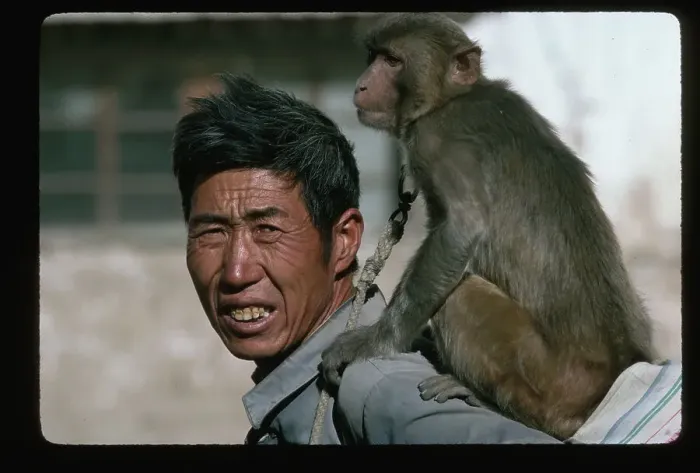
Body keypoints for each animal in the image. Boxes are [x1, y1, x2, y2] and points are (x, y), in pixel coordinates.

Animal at [320, 12, 656, 440]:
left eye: (392, 61)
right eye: (373, 56)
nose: (361, 84)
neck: (451, 98)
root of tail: (615, 372)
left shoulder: (437, 138)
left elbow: (459, 231)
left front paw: (377, 342)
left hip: (547, 378)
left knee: (462, 294)